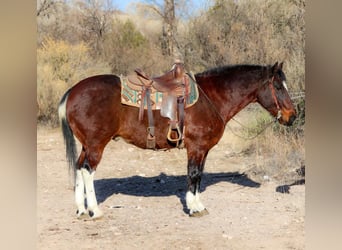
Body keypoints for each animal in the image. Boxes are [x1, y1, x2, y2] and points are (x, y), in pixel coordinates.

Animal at [58, 62, 296, 219]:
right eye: (278, 86)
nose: (292, 116)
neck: (211, 97)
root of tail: (72, 91)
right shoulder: (196, 147)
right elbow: (194, 174)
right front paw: (194, 207)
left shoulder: (203, 149)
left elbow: (198, 176)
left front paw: (198, 205)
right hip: (96, 144)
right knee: (88, 170)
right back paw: (94, 210)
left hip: (86, 145)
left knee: (79, 167)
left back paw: (81, 209)